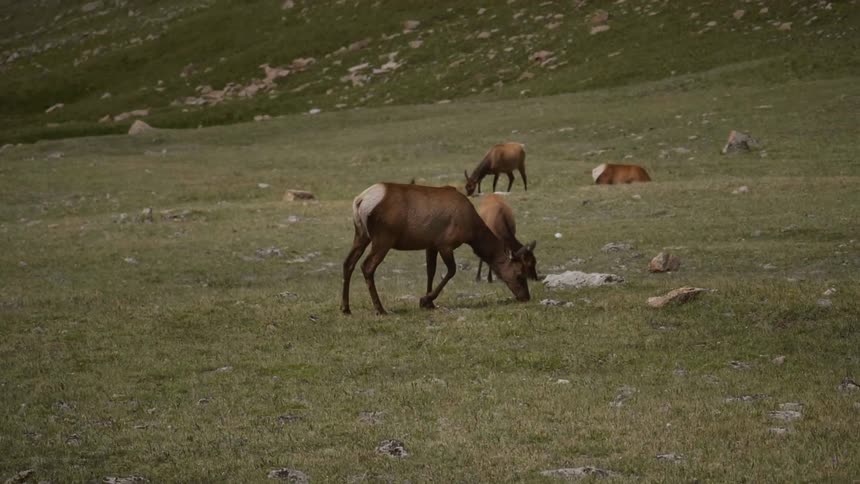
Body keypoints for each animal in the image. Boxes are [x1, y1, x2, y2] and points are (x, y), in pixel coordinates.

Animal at [341, 183, 532, 315]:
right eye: (519, 274)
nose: (526, 297)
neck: (472, 230)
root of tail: (359, 201)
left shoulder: (430, 245)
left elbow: (430, 271)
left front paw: (429, 302)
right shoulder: (445, 244)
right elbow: (451, 271)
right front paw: (425, 299)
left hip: (361, 235)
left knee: (348, 263)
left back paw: (345, 308)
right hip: (383, 238)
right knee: (367, 266)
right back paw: (380, 309)